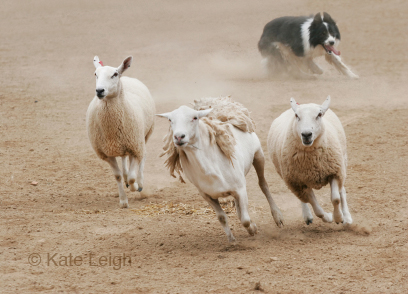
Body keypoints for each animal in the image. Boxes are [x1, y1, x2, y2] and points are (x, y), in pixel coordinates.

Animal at [86, 54, 155, 207]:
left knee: (143, 156)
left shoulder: (135, 146)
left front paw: (135, 186)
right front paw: (123, 201)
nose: (99, 91)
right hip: (124, 143)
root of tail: (127, 77)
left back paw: (140, 183)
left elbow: (132, 177)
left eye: (114, 74)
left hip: (143, 136)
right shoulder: (107, 153)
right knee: (124, 160)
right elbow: (117, 176)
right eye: (95, 74)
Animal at [156, 96, 284, 241]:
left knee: (263, 184)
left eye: (195, 118)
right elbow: (222, 217)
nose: (178, 137)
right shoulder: (207, 195)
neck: (210, 169)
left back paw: (277, 216)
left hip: (258, 155)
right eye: (170, 120)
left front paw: (252, 229)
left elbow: (245, 220)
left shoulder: (241, 189)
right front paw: (232, 239)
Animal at [268, 96, 350, 225]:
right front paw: (328, 217)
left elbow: (336, 199)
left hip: (342, 161)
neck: (312, 161)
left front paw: (339, 217)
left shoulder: (334, 172)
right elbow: (317, 209)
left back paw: (347, 217)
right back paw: (307, 216)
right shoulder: (298, 183)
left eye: (319, 115)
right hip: (293, 179)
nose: (306, 134)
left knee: (342, 190)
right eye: (297, 116)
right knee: (303, 199)